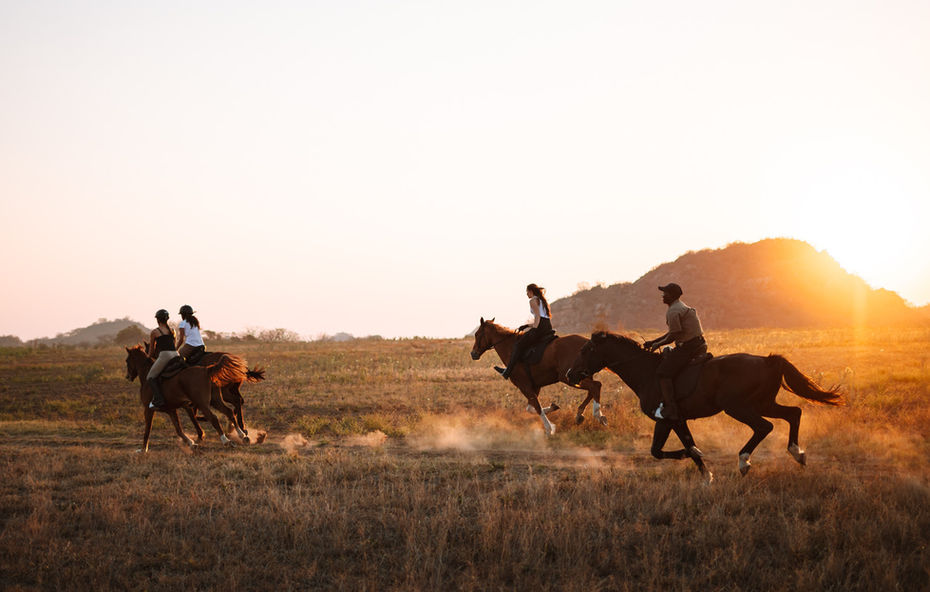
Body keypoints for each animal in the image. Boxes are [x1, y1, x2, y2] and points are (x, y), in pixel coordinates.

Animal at [471, 317, 605, 435]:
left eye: (477, 334)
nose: (473, 354)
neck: (510, 348)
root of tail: (587, 343)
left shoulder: (524, 386)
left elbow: (537, 407)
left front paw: (549, 429)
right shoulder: (535, 386)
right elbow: (531, 408)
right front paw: (552, 408)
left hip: (569, 378)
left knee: (596, 386)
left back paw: (598, 415)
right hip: (579, 377)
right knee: (592, 390)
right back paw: (580, 415)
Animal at [566, 331, 844, 478]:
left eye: (586, 350)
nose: (570, 374)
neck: (646, 372)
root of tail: (767, 360)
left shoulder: (667, 419)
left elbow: (665, 450)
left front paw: (694, 458)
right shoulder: (677, 420)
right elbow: (681, 445)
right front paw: (706, 475)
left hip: (739, 407)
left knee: (765, 427)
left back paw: (744, 462)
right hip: (763, 404)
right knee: (793, 413)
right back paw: (797, 453)